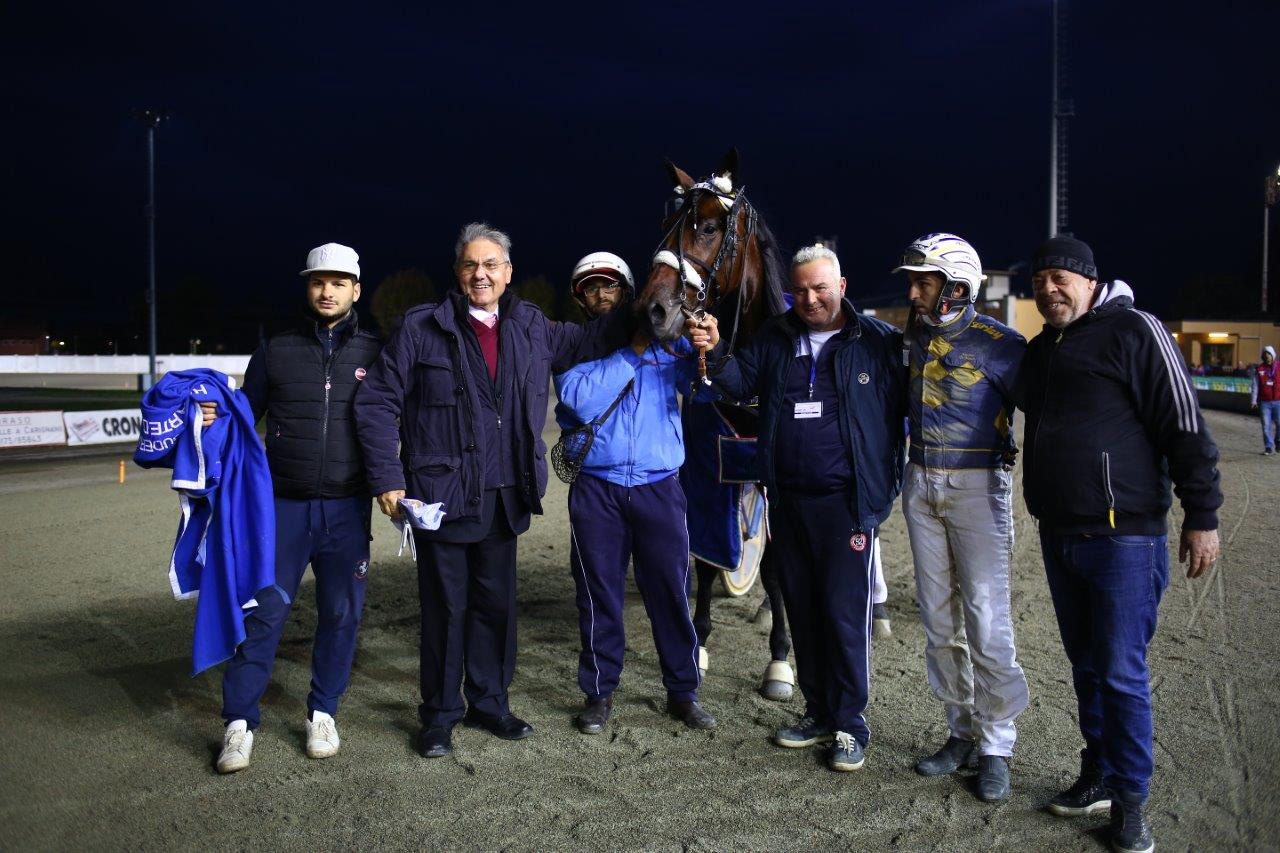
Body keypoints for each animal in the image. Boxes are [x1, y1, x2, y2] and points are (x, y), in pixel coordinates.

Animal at [637, 149, 788, 696]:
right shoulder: (708, 459)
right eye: (665, 225)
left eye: (706, 226)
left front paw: (780, 658)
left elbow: (778, 563)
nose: (652, 310)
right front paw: (697, 643)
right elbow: (704, 556)